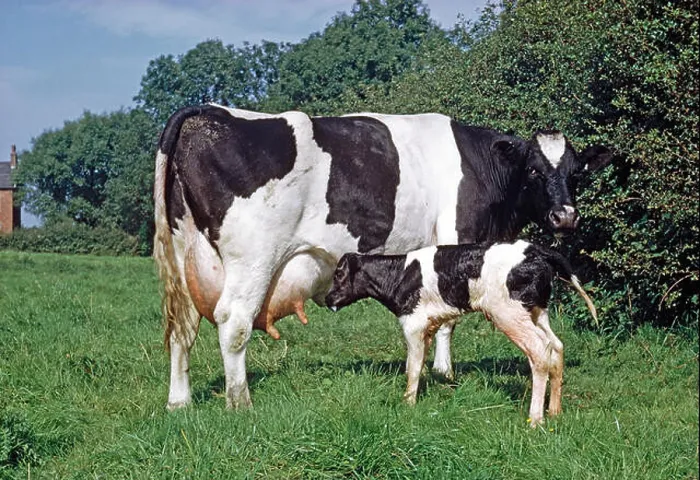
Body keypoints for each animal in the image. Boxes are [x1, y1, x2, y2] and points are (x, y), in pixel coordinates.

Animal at [324, 240, 597, 426]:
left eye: (338, 274)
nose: (327, 299)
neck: (400, 274)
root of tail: (536, 250)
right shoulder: (428, 326)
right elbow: (418, 364)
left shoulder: (413, 324)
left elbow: (412, 368)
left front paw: (407, 404)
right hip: (537, 311)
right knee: (557, 346)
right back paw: (555, 411)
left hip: (509, 314)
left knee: (541, 350)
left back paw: (535, 419)